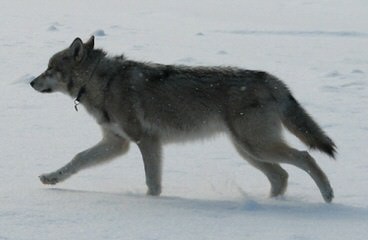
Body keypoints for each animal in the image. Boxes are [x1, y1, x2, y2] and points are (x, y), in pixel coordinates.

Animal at [30, 36, 336, 202]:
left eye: (49, 69)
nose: (31, 82)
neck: (103, 82)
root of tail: (272, 80)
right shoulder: (117, 143)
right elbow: (78, 159)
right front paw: (51, 177)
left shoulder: (146, 141)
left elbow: (152, 182)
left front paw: (152, 203)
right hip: (248, 151)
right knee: (281, 176)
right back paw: (269, 205)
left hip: (256, 147)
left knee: (305, 158)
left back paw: (327, 196)